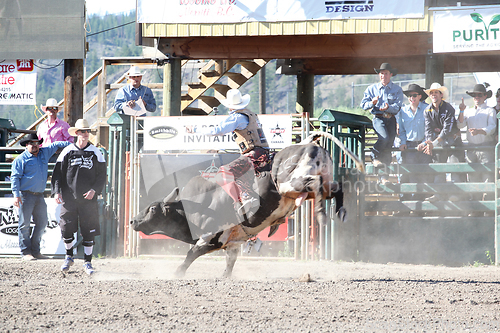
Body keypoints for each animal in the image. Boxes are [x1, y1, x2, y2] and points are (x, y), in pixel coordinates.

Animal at [130, 131, 364, 276]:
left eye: (152, 208)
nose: (132, 221)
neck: (196, 205)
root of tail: (307, 142)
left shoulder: (209, 237)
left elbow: (190, 256)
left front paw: (177, 273)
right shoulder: (232, 243)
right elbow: (229, 264)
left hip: (291, 183)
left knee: (316, 184)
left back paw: (322, 213)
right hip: (310, 184)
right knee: (334, 187)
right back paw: (339, 211)